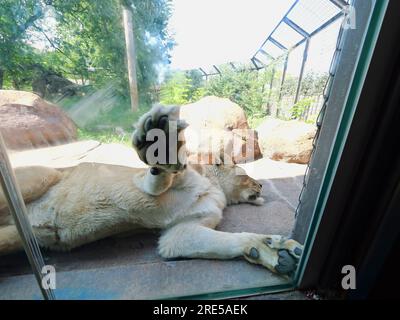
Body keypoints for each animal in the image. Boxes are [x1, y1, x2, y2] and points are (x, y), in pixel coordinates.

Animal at [0, 104, 302, 276]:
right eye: (246, 175)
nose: (261, 185)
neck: (216, 189)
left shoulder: (181, 232)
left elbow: (226, 241)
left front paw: (276, 251)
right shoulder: (141, 182)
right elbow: (164, 175)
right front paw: (160, 137)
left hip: (19, 236)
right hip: (43, 175)